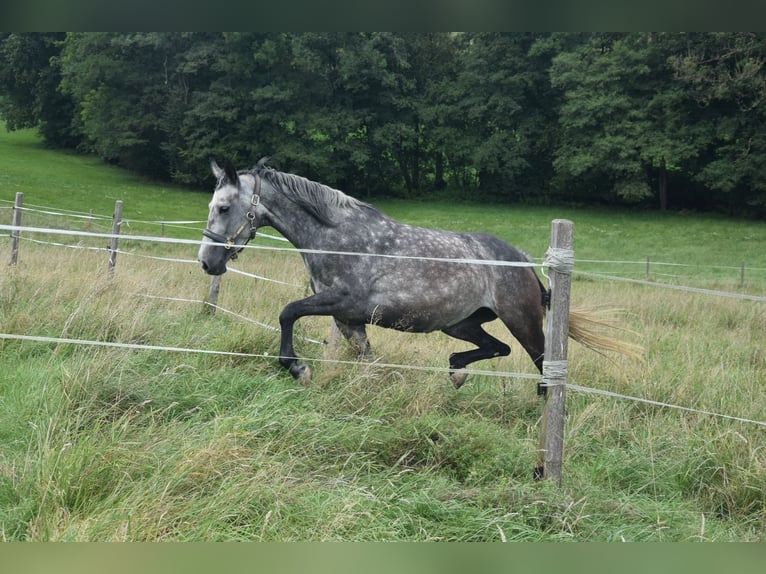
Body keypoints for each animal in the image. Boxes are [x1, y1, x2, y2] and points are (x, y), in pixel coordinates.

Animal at [200, 160, 600, 390]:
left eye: (224, 207)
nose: (207, 262)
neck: (336, 237)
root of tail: (525, 264)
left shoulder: (340, 301)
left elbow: (288, 312)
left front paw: (298, 368)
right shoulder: (349, 320)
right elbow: (368, 360)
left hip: (522, 319)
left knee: (541, 363)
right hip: (460, 324)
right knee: (496, 348)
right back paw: (456, 371)